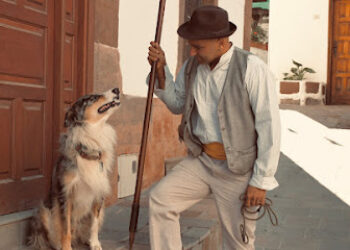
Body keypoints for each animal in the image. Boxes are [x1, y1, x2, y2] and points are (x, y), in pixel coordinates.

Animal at [27, 87, 120, 249]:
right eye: (93, 98)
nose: (116, 89)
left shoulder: (98, 193)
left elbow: (94, 224)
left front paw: (95, 244)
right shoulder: (66, 194)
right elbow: (65, 228)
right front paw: (66, 247)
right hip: (43, 211)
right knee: (51, 236)